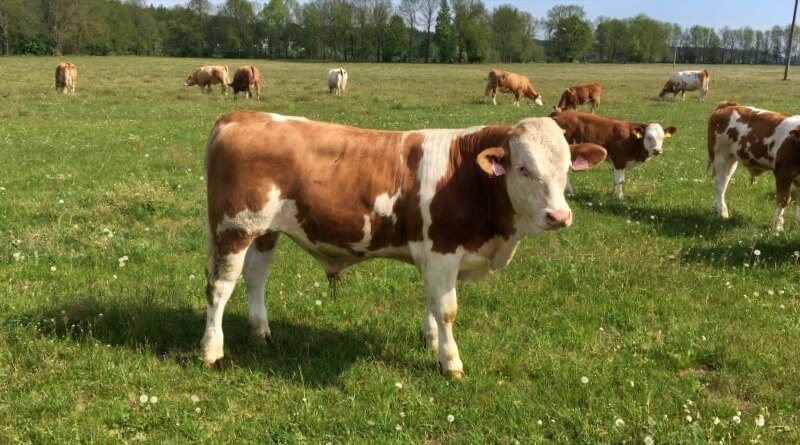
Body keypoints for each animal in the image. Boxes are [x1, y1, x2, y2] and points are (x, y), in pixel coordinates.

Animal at [201, 110, 606, 378]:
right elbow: (447, 309)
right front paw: (451, 362)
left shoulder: (435, 255)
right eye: (523, 168)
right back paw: (212, 350)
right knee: (220, 287)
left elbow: (432, 302)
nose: (559, 216)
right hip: (234, 229)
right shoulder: (443, 251)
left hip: (264, 230)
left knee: (255, 277)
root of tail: (241, 116)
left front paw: (431, 341)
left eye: (567, 168)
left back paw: (261, 331)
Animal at [708, 101, 800, 231]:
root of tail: (729, 105)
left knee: (724, 182)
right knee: (720, 184)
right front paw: (777, 226)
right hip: (720, 156)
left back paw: (717, 208)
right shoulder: (783, 172)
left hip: (731, 159)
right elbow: (784, 199)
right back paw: (722, 212)